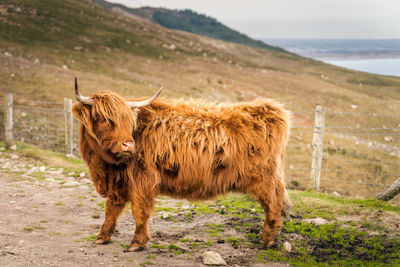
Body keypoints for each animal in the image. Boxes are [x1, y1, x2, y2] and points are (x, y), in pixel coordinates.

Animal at [72, 78, 290, 253]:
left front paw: (137, 243)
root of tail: (269, 109)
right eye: (101, 118)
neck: (107, 167)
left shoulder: (143, 181)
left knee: (273, 203)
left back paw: (267, 240)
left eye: (129, 121)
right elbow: (111, 210)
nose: (128, 145)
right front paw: (102, 237)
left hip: (264, 178)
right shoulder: (118, 183)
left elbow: (139, 212)